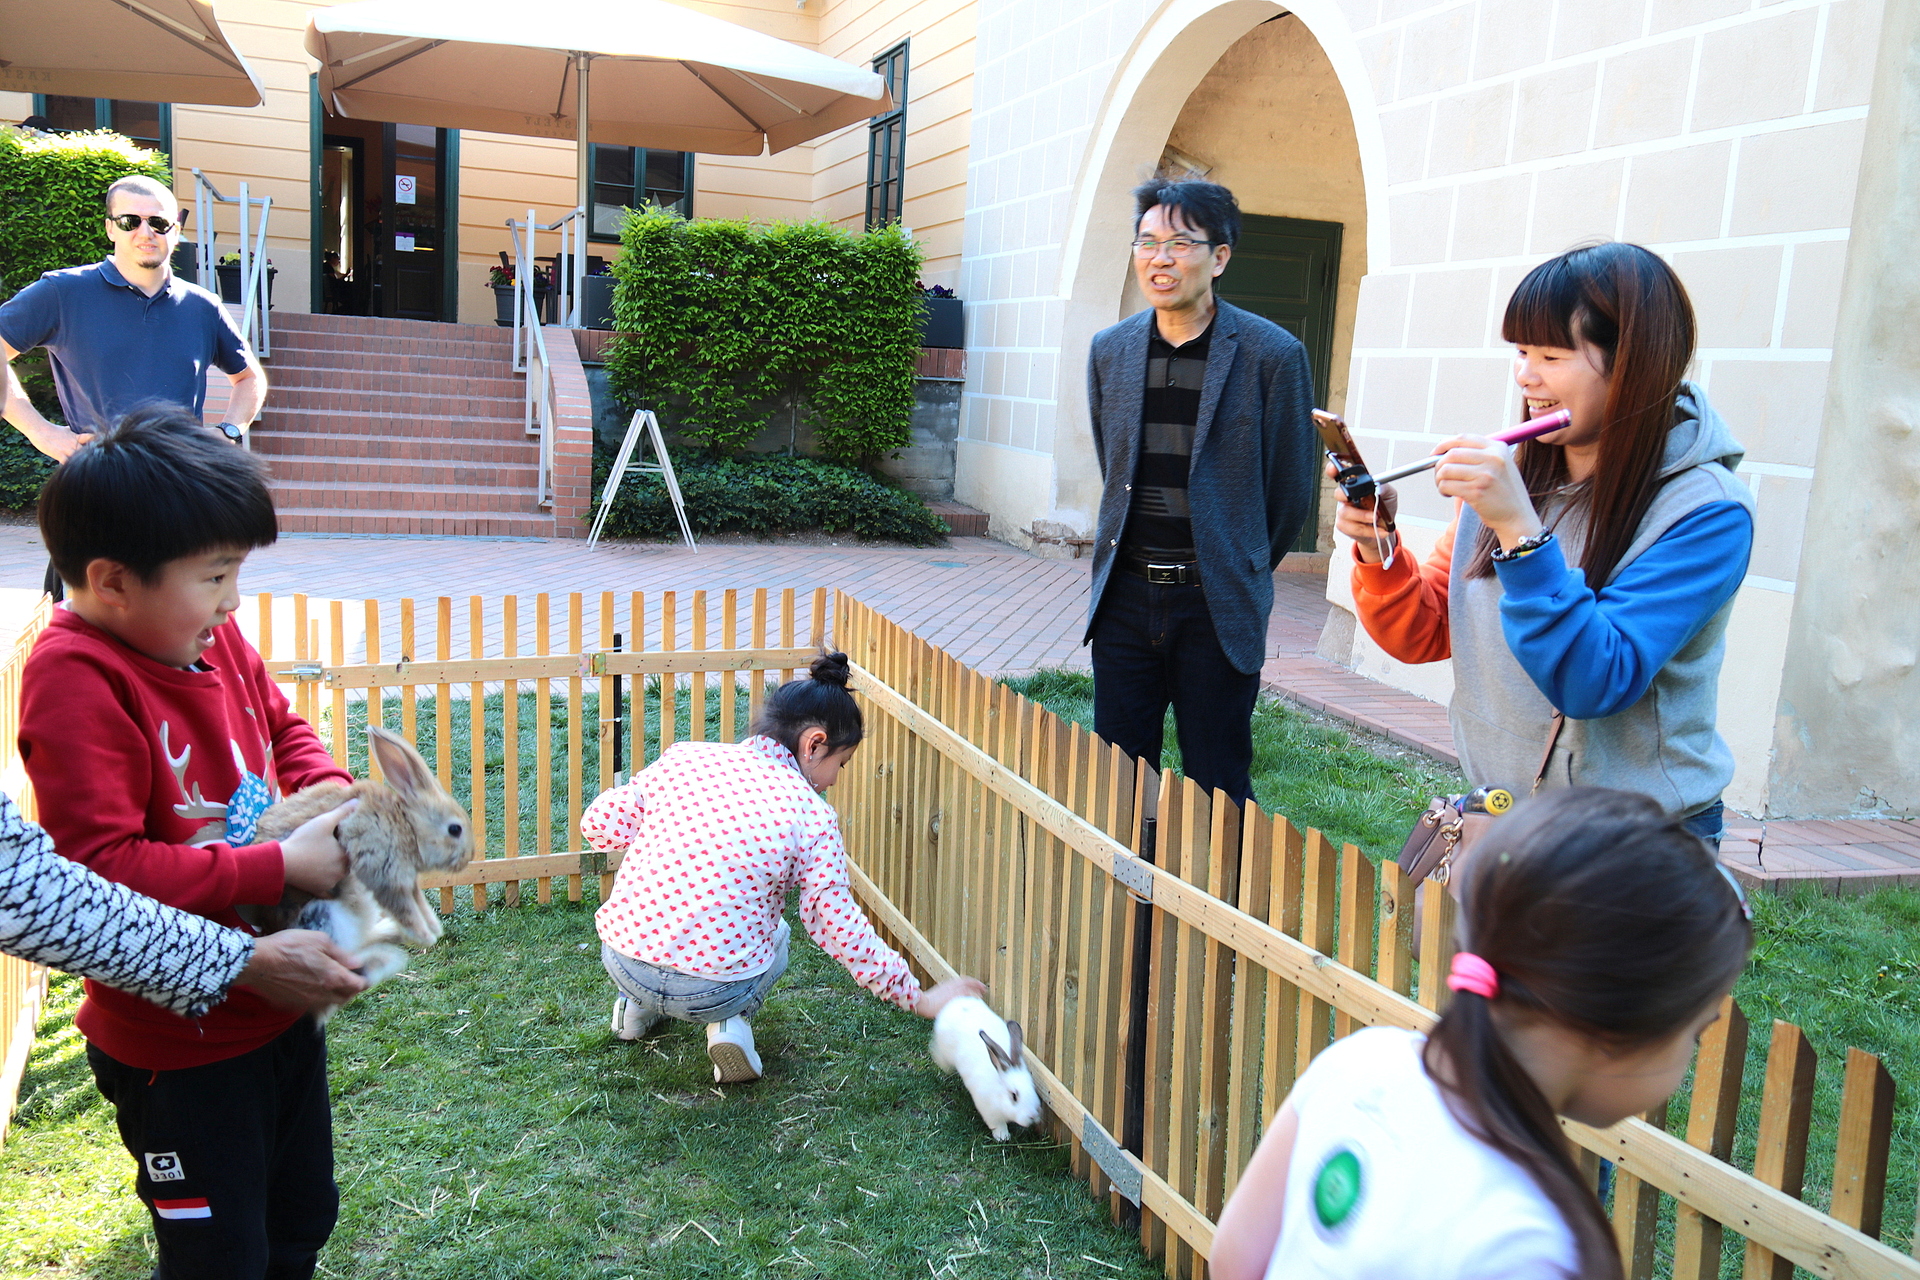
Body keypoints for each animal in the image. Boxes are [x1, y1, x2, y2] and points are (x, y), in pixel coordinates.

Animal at [241, 726, 474, 1005]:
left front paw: (434, 928)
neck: (406, 825)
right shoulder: (384, 873)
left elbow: (419, 904)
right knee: (350, 954)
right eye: (454, 829)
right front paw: (425, 936)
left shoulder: (407, 881)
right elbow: (405, 909)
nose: (469, 857)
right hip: (327, 916)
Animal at [930, 995, 1042, 1141]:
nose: (1033, 1116)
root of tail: (956, 1002)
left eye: (1033, 1088)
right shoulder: (989, 1111)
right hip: (945, 1052)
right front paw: (1003, 1136)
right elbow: (997, 1124)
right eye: (1014, 1096)